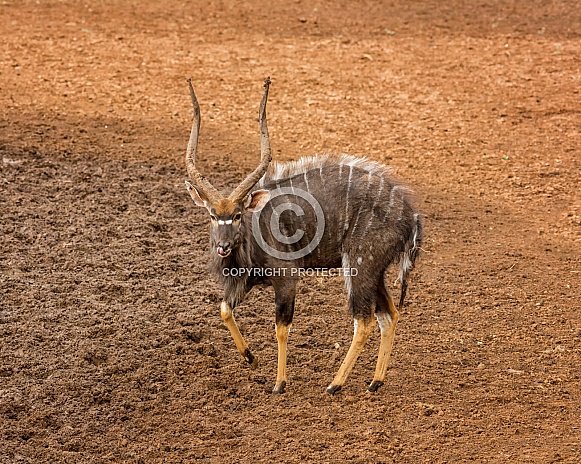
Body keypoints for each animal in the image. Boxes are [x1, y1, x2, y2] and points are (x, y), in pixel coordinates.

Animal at [185, 77, 422, 396]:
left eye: (237, 214)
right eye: (212, 214)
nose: (223, 246)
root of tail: (410, 215)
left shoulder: (286, 278)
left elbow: (281, 328)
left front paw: (279, 383)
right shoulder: (246, 281)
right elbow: (224, 308)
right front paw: (249, 357)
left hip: (360, 266)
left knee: (365, 320)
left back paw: (335, 384)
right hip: (376, 271)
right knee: (390, 314)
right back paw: (375, 382)